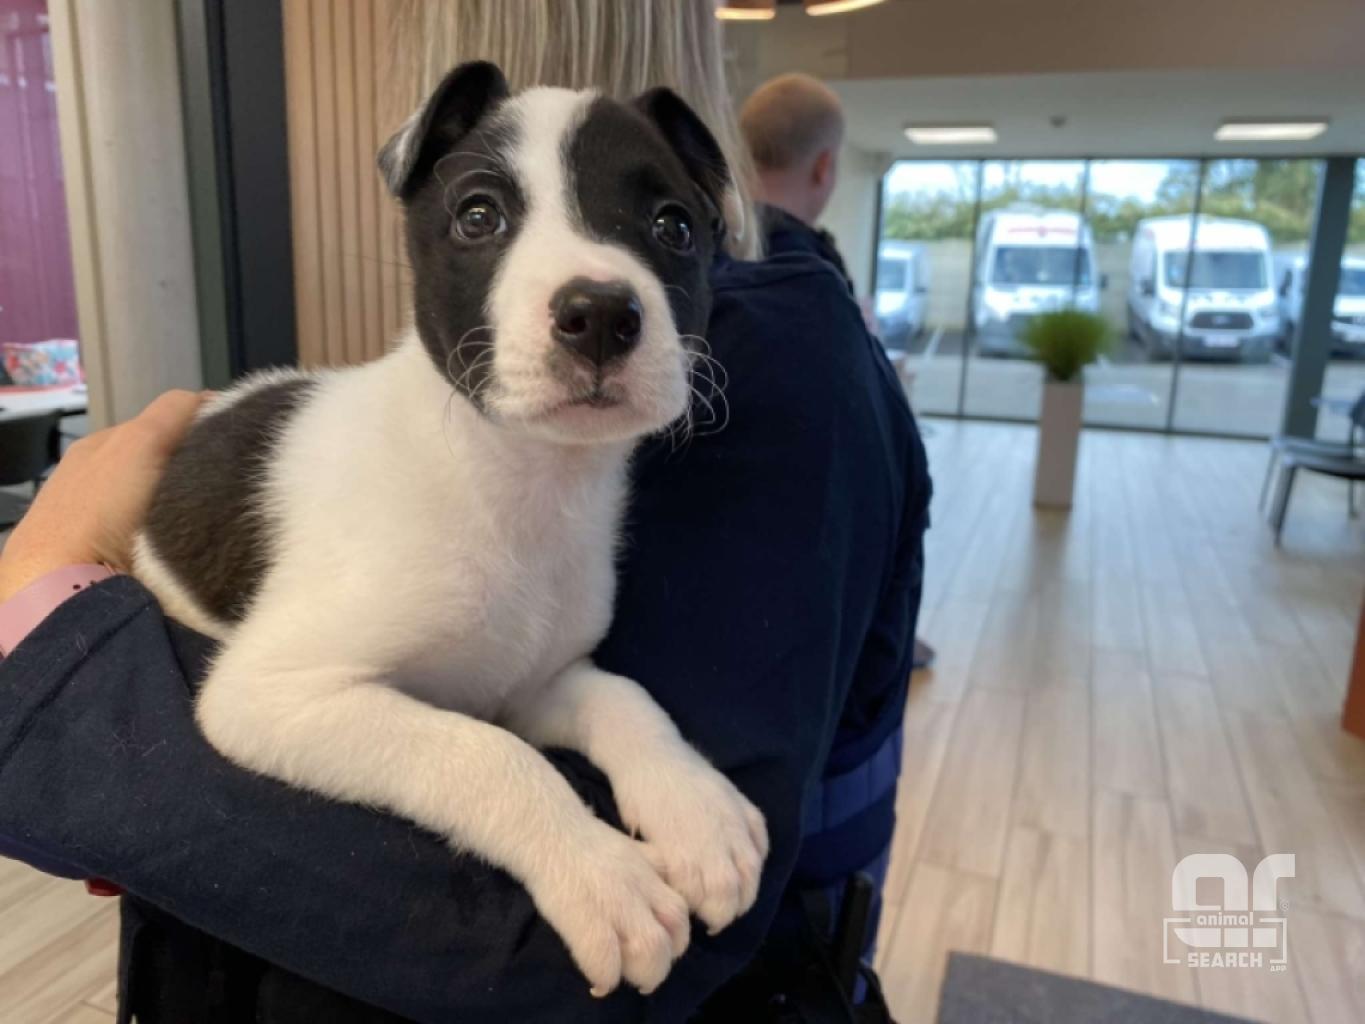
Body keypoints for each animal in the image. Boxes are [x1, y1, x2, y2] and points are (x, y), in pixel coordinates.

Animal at [132, 62, 766, 998]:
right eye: (478, 216)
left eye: (672, 225)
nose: (600, 313)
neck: (515, 483)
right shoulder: (273, 693)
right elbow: (487, 756)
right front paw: (601, 875)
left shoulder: (536, 682)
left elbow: (628, 700)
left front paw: (695, 810)